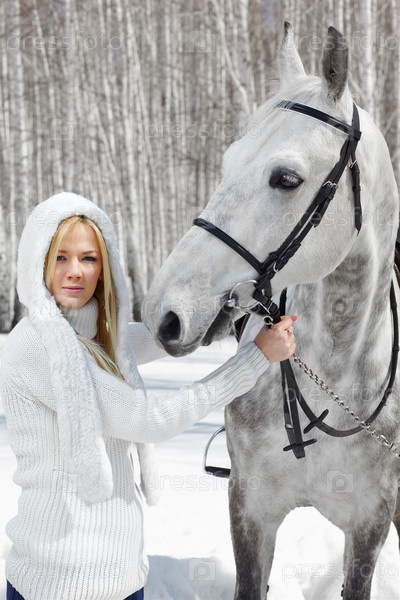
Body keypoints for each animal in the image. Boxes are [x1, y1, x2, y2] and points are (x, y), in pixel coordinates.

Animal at [142, 23, 400, 600]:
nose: (164, 313)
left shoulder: (369, 526)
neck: (335, 381)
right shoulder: (250, 510)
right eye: (227, 162)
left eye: (285, 178)